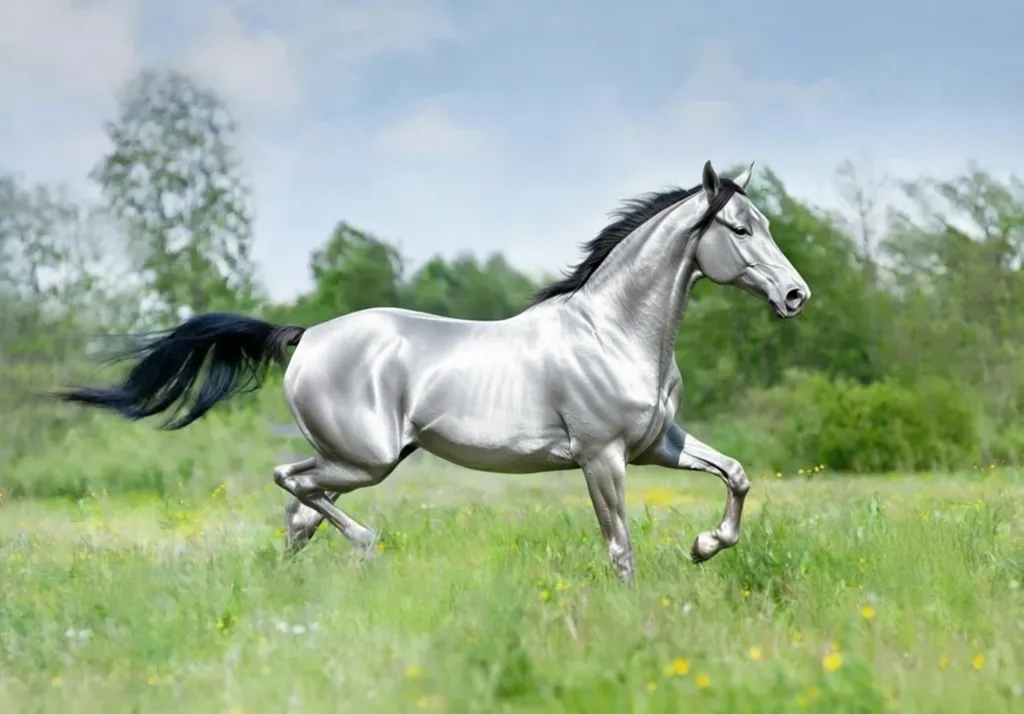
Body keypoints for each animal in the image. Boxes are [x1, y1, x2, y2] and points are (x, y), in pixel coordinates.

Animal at [58, 160, 810, 583]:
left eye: (767, 223)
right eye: (739, 229)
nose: (796, 295)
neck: (614, 333)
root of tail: (305, 336)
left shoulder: (658, 445)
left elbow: (737, 475)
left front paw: (705, 546)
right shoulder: (604, 457)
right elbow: (619, 546)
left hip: (359, 459)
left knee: (297, 513)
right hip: (365, 459)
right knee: (292, 486)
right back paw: (367, 548)